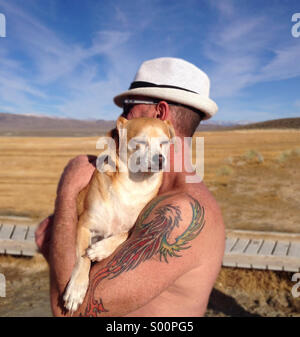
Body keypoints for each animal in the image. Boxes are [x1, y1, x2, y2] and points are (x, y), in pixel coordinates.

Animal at [64, 117, 175, 312]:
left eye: (165, 143)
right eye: (139, 143)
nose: (160, 159)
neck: (132, 187)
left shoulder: (134, 227)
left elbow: (123, 234)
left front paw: (100, 249)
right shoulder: (84, 225)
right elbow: (82, 259)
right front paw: (76, 289)